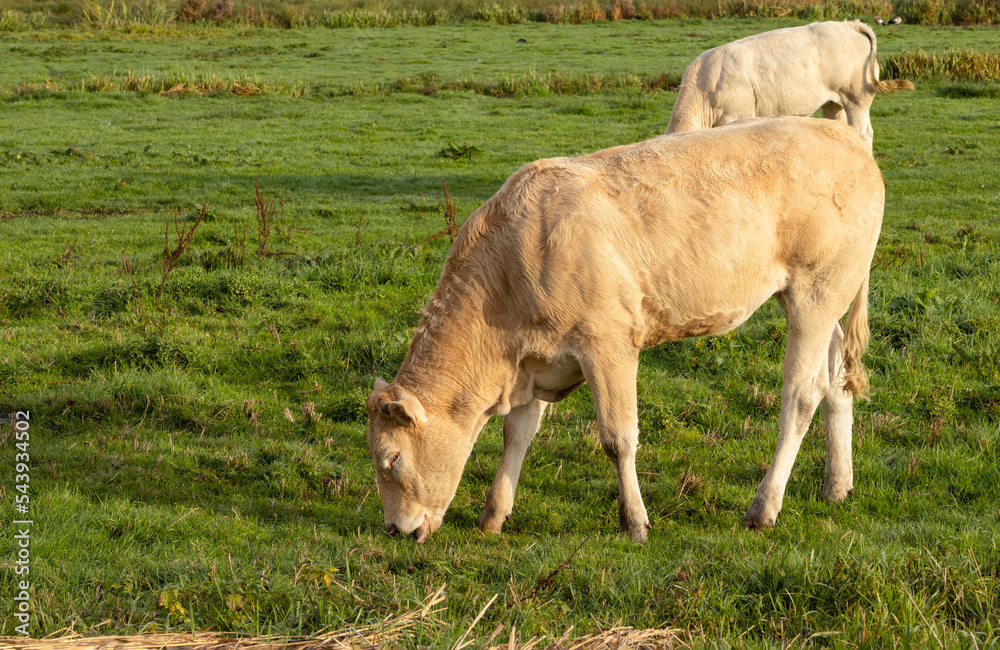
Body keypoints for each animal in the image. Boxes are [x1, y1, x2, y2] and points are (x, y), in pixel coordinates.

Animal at [365, 117, 884, 543]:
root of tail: (845, 136)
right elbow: (518, 434)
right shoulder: (534, 360)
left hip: (817, 293)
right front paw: (494, 514)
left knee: (800, 396)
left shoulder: (608, 344)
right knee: (836, 383)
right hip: (822, 300)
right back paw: (837, 485)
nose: (395, 529)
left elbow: (617, 438)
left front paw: (634, 522)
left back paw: (763, 508)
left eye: (391, 459)